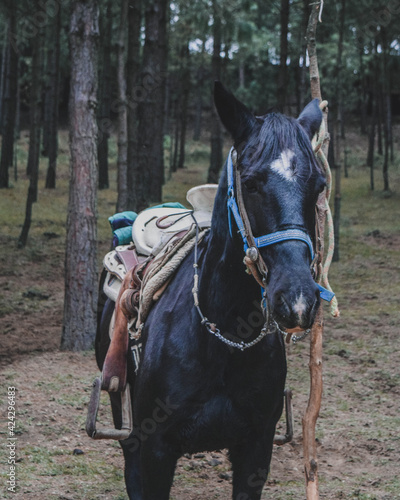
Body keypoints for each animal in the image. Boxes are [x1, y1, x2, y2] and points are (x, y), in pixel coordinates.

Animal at [96, 84, 324, 498]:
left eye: (319, 186)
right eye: (250, 182)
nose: (297, 299)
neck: (226, 334)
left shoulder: (256, 449)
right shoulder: (154, 449)